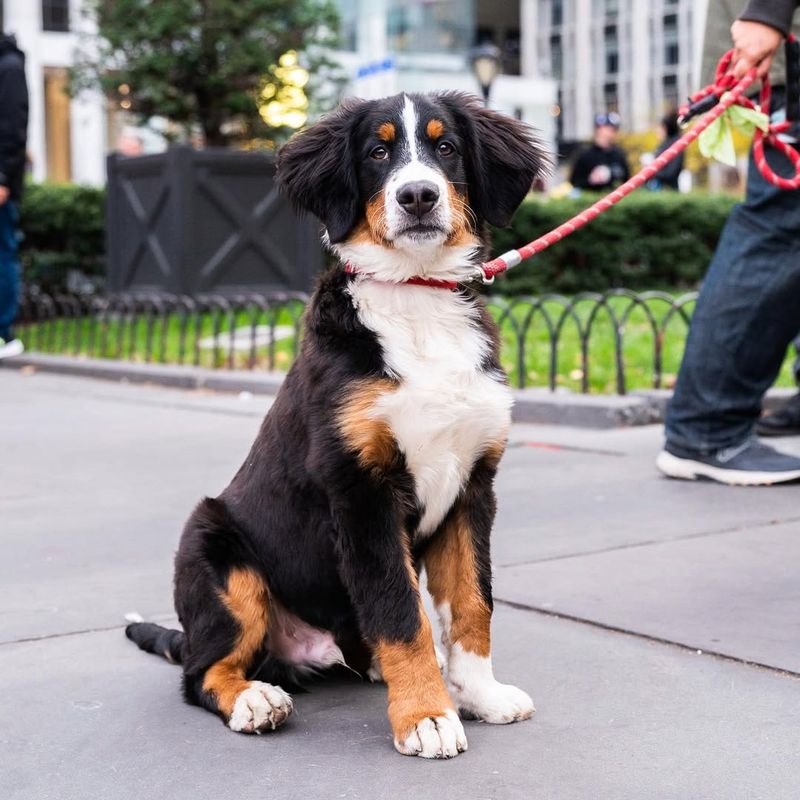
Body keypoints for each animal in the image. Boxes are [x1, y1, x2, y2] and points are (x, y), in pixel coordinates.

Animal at [126, 90, 552, 760]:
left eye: (447, 147)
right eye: (377, 152)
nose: (417, 196)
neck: (417, 301)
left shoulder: (472, 486)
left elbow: (471, 602)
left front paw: (480, 693)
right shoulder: (361, 490)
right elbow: (401, 613)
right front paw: (427, 717)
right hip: (214, 548)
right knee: (201, 672)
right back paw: (255, 699)